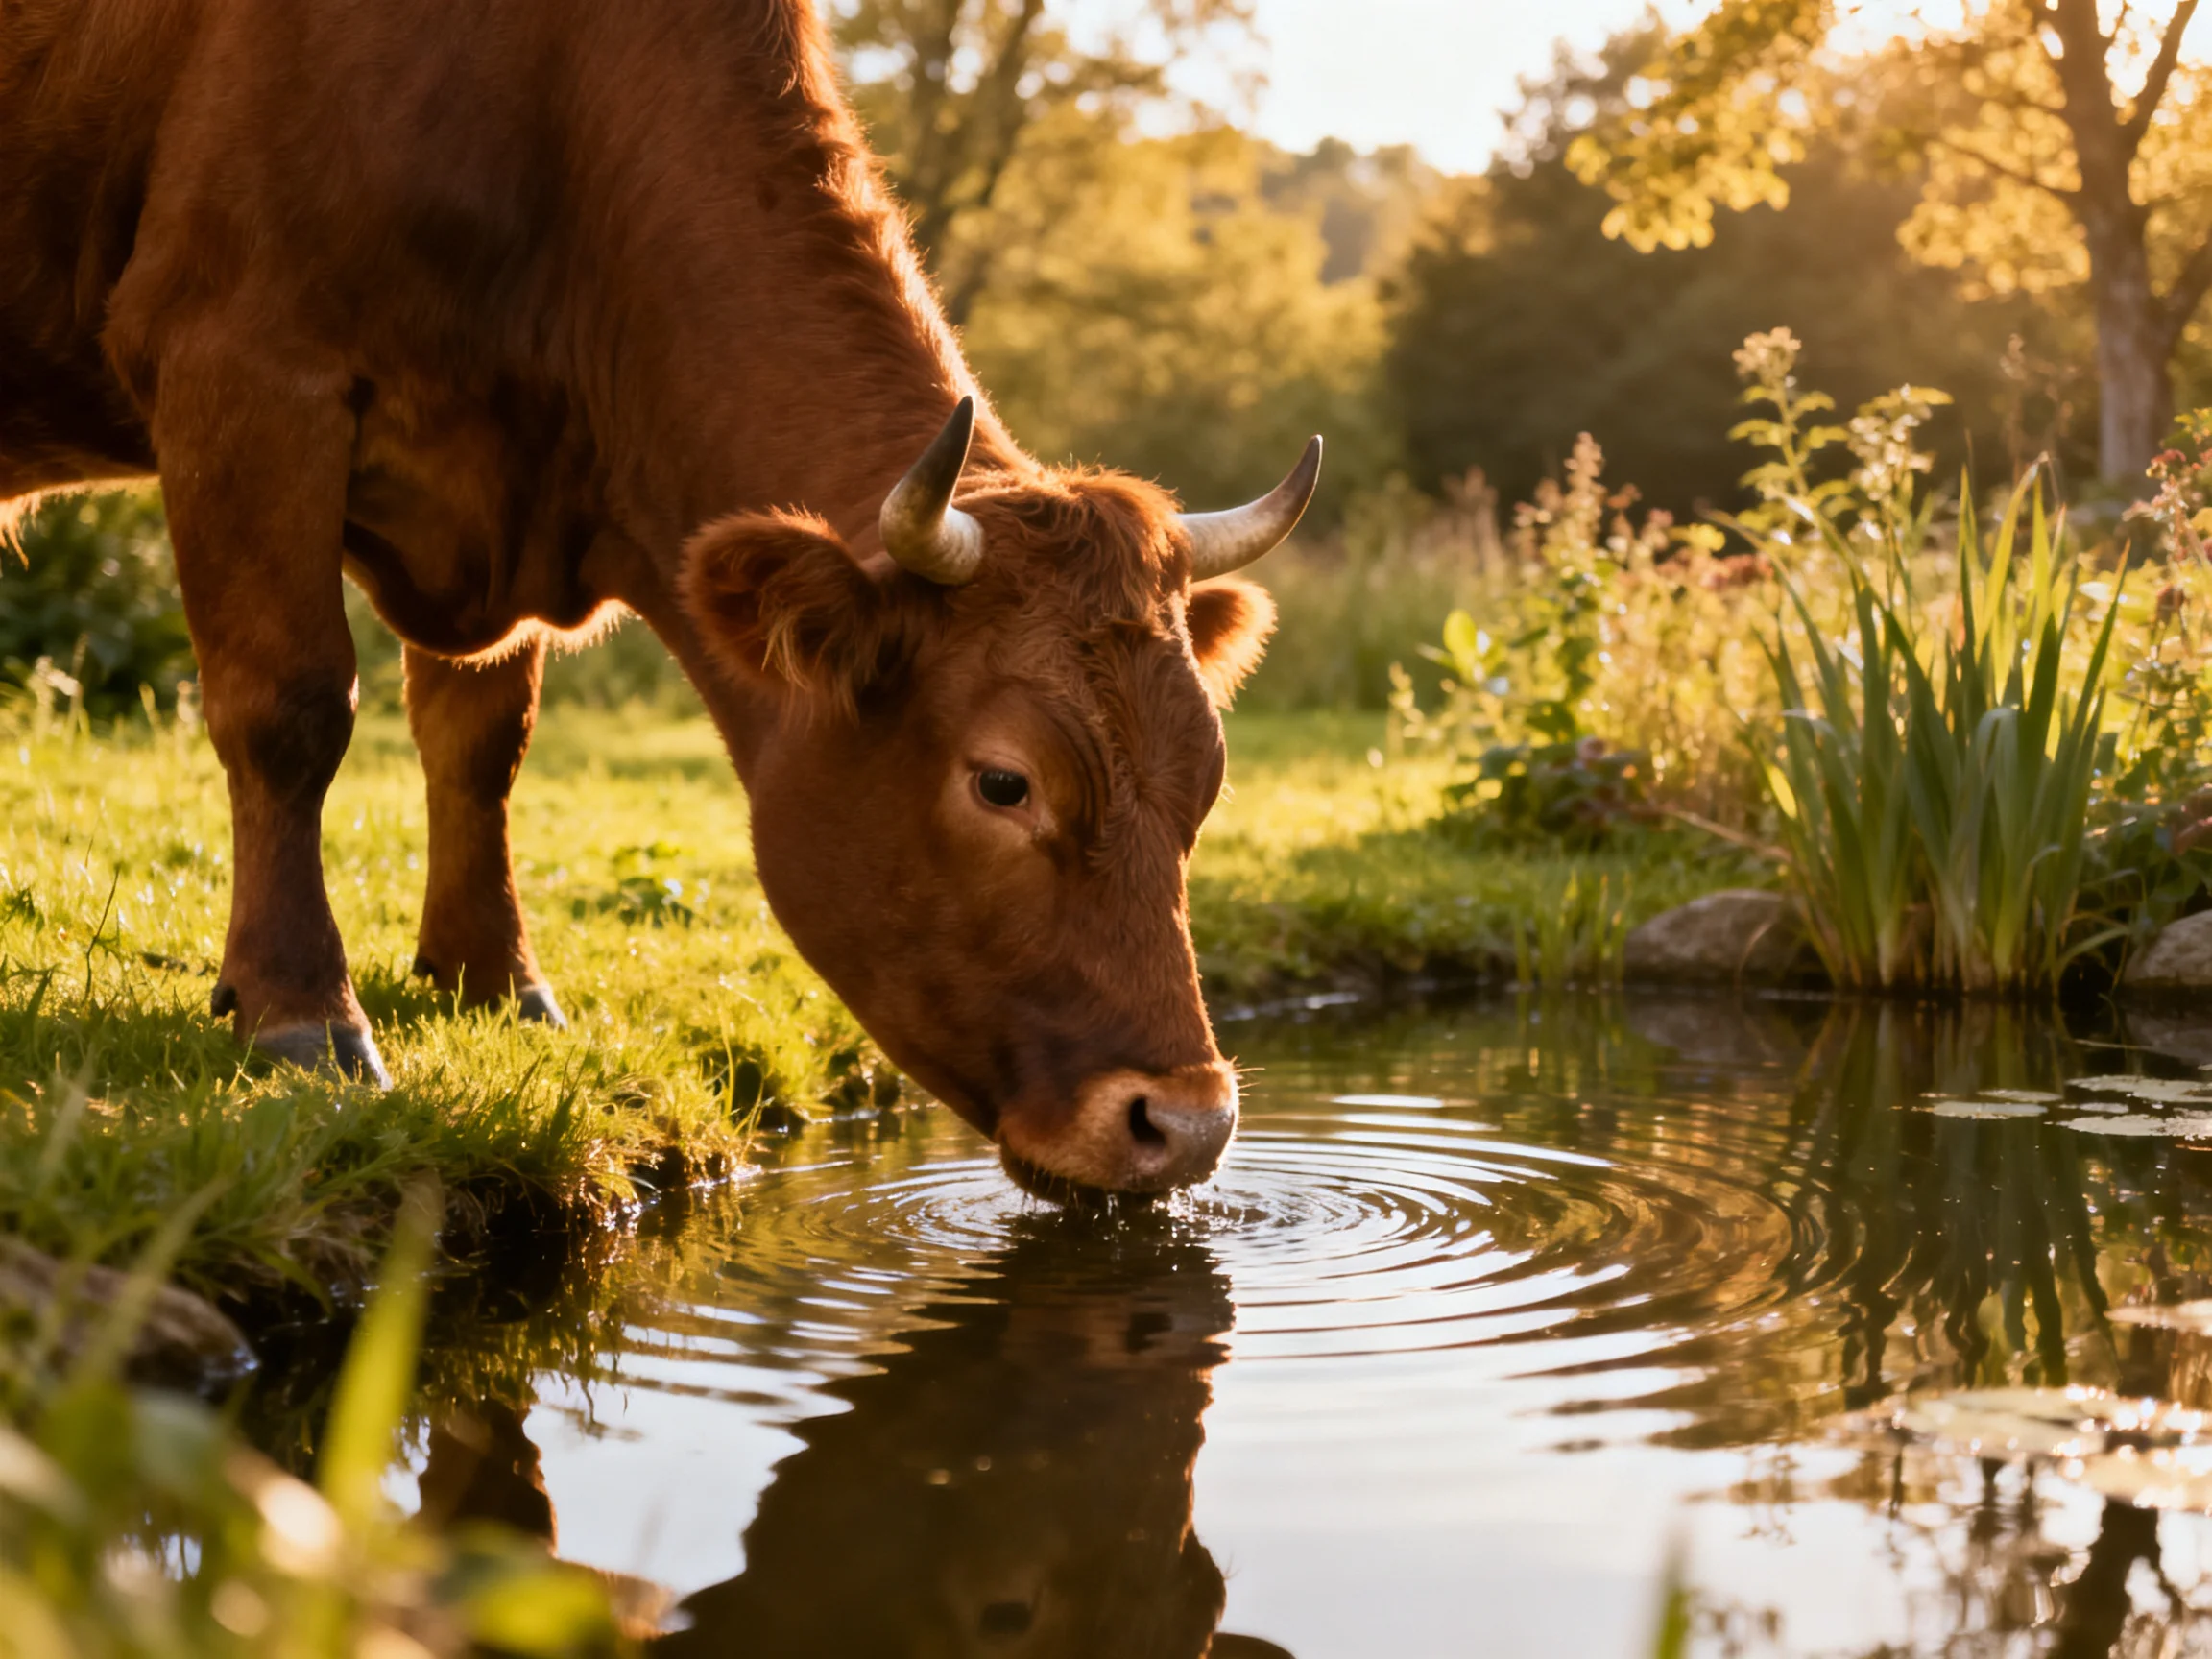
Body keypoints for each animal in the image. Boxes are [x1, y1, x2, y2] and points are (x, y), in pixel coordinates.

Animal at [0, 0, 1320, 1196]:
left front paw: (495, 981)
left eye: (1208, 776)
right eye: (1005, 783)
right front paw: (301, 1014)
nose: (1187, 1124)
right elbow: (290, 710)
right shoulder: (242, 369)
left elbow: (480, 740)